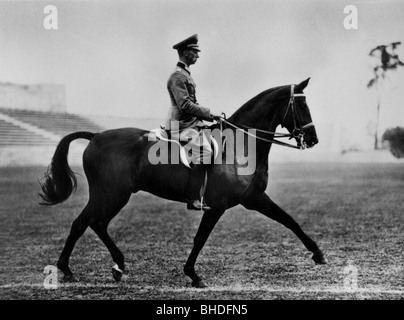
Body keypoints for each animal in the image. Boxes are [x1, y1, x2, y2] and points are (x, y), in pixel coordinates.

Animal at [39, 77, 326, 288]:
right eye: (301, 107)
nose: (313, 140)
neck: (240, 144)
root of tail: (96, 136)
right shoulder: (218, 205)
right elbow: (200, 238)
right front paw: (193, 275)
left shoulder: (254, 198)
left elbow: (290, 220)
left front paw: (318, 254)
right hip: (112, 195)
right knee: (90, 223)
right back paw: (95, 267)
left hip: (108, 195)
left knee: (87, 223)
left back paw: (91, 268)